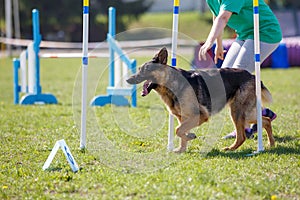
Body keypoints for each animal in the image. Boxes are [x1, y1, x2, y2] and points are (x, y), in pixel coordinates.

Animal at [125, 48, 276, 153]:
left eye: (145, 69)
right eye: (139, 69)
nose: (127, 80)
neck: (170, 84)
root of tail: (252, 76)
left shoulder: (200, 116)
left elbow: (178, 130)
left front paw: (190, 136)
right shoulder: (182, 117)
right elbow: (180, 132)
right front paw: (182, 149)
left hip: (237, 112)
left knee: (243, 135)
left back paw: (232, 149)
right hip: (244, 113)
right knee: (266, 121)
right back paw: (271, 144)